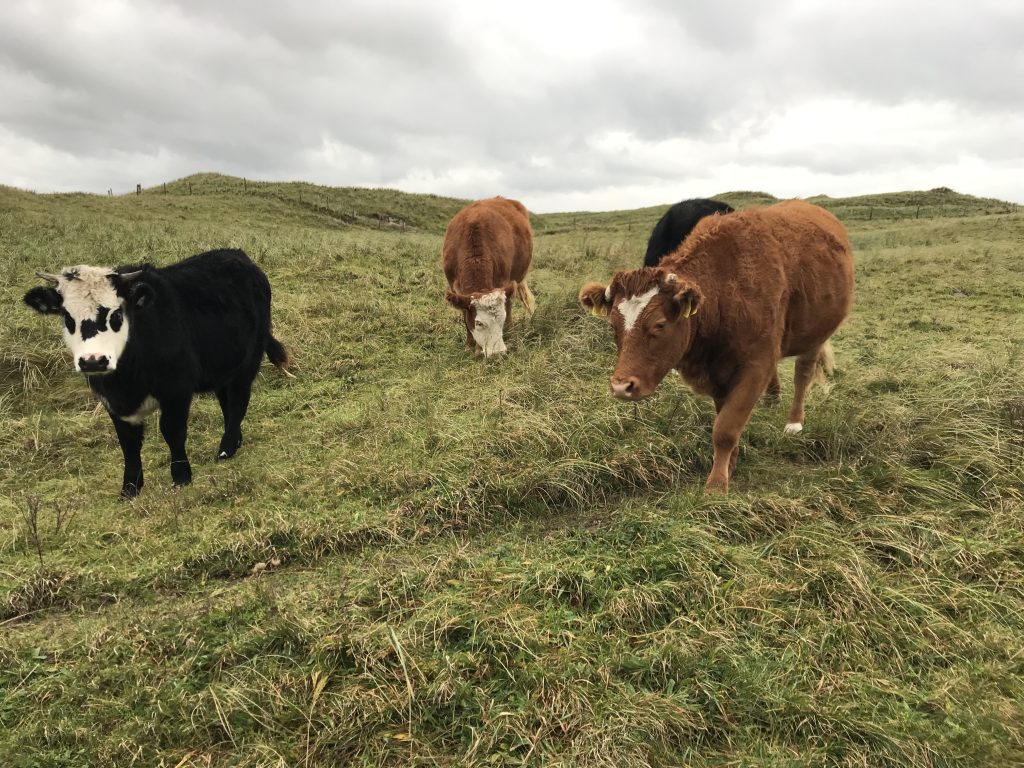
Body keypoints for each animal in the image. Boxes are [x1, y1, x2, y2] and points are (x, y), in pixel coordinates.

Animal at [22, 246, 292, 499]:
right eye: (67, 316)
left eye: (116, 314)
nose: (93, 362)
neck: (126, 380)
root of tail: (238, 256)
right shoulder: (112, 402)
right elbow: (128, 444)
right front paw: (130, 489)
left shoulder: (177, 390)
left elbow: (172, 431)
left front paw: (181, 478)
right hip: (223, 366)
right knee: (226, 401)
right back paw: (234, 441)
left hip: (248, 363)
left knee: (237, 402)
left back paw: (226, 449)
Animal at [442, 195, 536, 358]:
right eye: (479, 323)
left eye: (501, 319)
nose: (498, 352)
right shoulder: (454, 288)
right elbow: (465, 316)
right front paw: (469, 344)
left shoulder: (503, 282)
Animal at [581, 199, 851, 493]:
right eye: (612, 325)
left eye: (660, 325)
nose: (621, 386)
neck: (725, 291)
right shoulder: (720, 374)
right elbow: (725, 417)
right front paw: (730, 463)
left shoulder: (755, 367)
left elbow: (725, 428)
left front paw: (717, 483)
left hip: (817, 333)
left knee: (803, 373)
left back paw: (794, 422)